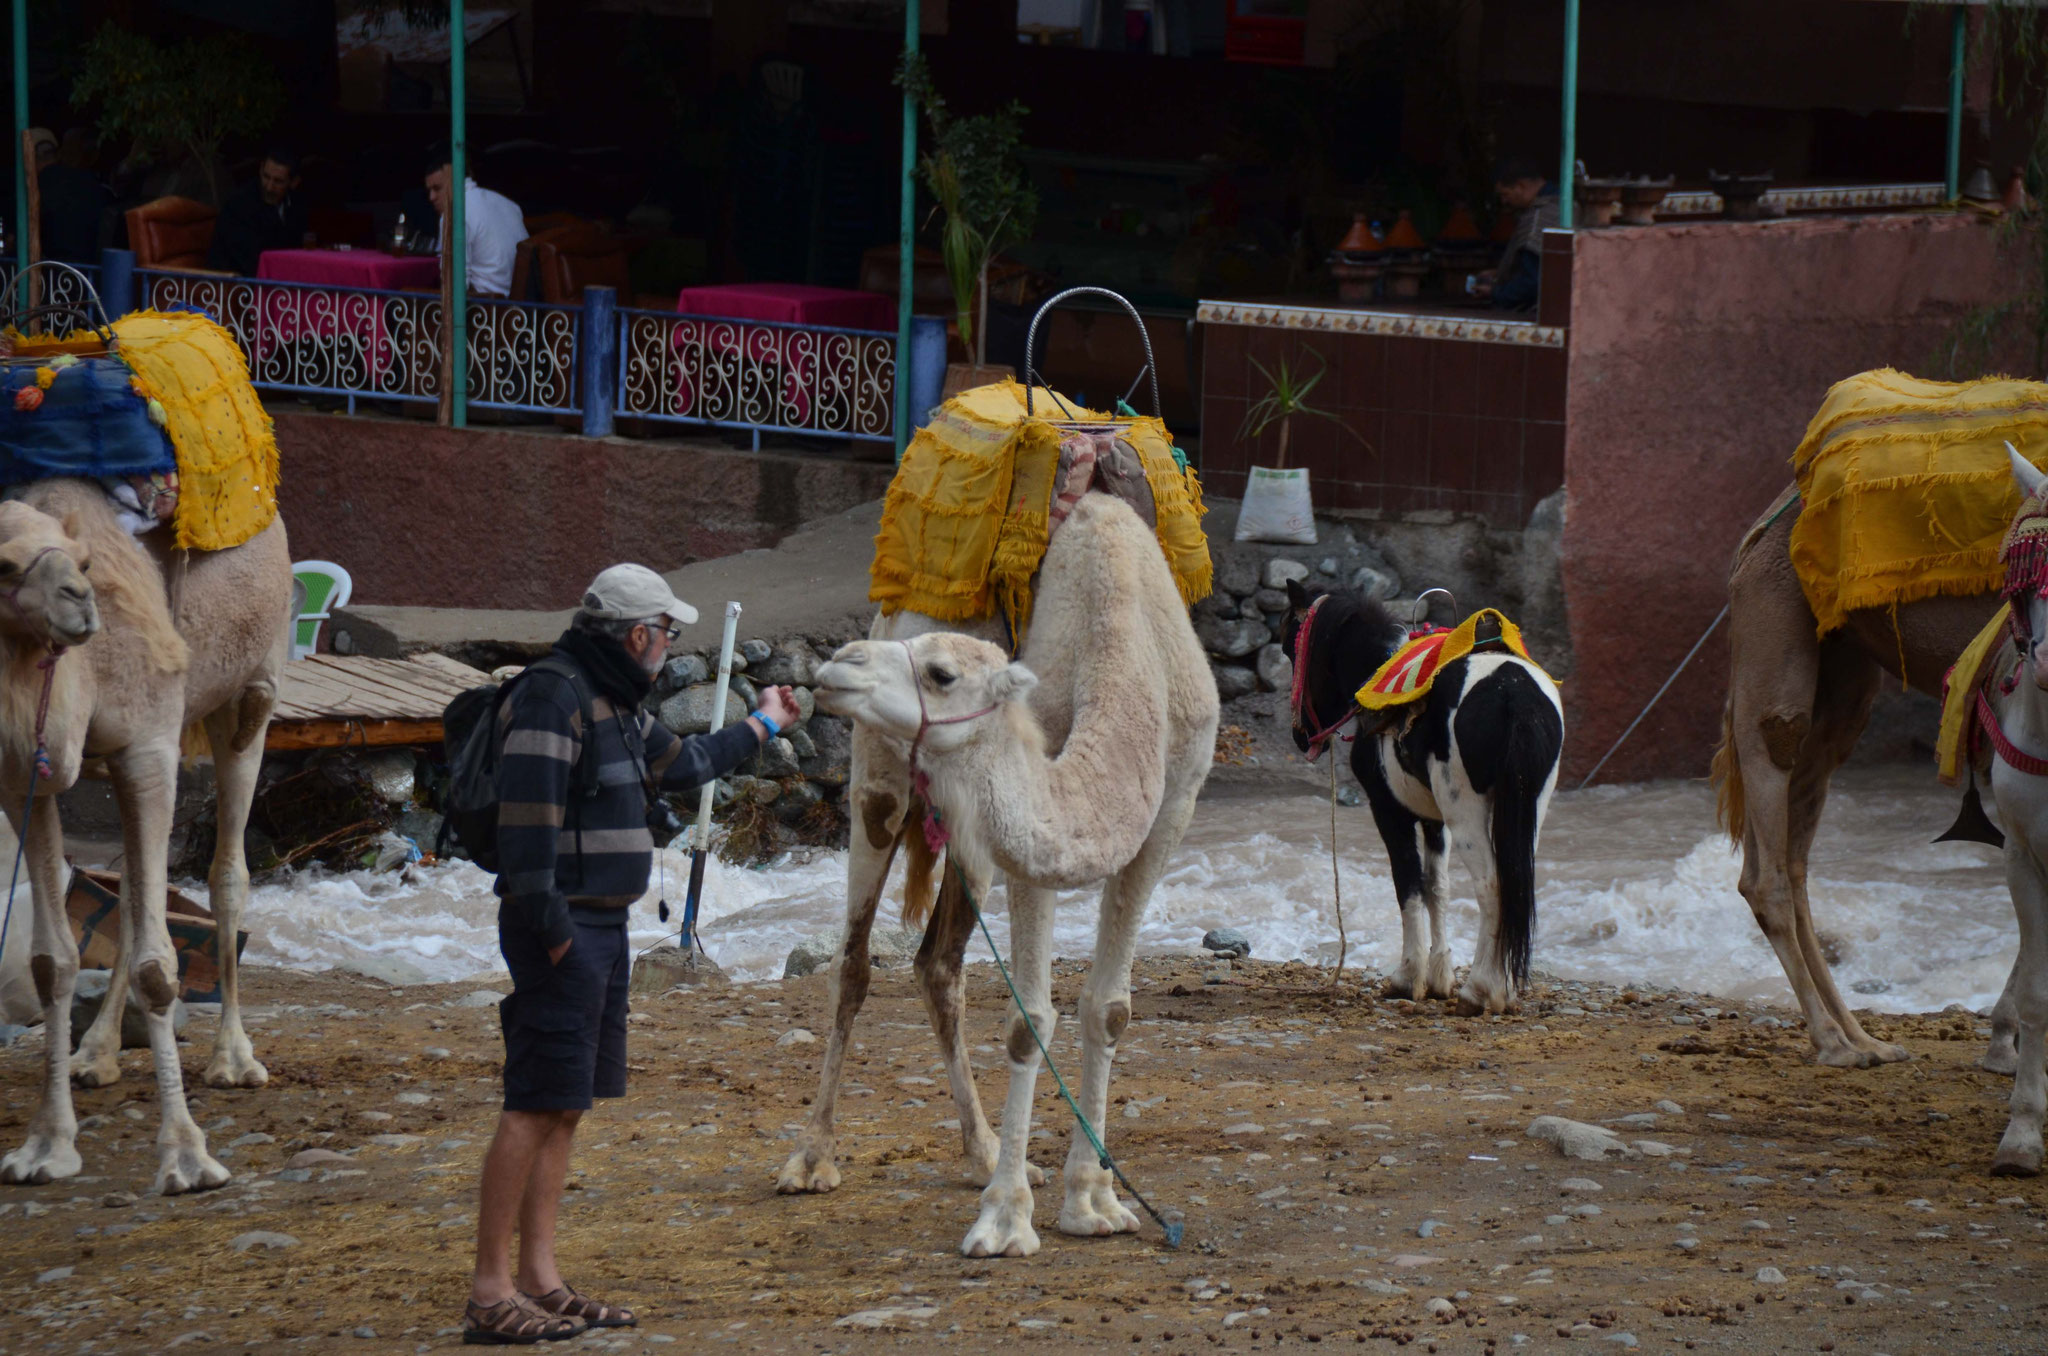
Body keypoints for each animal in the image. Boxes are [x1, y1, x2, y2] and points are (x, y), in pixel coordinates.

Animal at [0, 483, 292, 1196]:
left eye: (82, 561)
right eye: (4, 566)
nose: (79, 607)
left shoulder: (152, 746)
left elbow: (162, 967)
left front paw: (187, 1158)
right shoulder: (24, 771)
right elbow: (52, 959)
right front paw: (45, 1146)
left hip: (248, 696)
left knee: (227, 873)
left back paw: (234, 1060)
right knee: (136, 887)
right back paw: (95, 1054)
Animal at [794, 493, 1212, 1261]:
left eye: (942, 674)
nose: (840, 663)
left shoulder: (1169, 814)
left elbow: (1108, 1008)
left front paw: (1095, 1201)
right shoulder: (1038, 807)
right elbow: (1029, 1020)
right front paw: (1005, 1220)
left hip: (970, 843)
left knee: (936, 964)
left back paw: (982, 1151)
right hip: (877, 791)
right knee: (854, 962)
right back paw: (811, 1158)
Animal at [1277, 577, 1564, 1015]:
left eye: (1289, 648)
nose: (1301, 736)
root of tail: (1512, 692)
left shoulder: (1389, 811)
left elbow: (1408, 883)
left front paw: (1407, 977)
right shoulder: (1434, 820)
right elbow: (1436, 887)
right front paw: (1439, 978)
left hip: (1469, 814)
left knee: (1493, 886)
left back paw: (1480, 990)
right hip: (1528, 808)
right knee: (1513, 882)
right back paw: (1499, 989)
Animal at [1712, 489, 1998, 1073]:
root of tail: (1754, 537)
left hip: (1843, 677)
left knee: (1793, 857)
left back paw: (1866, 1040)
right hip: (1776, 628)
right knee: (1768, 846)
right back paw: (1835, 1044)